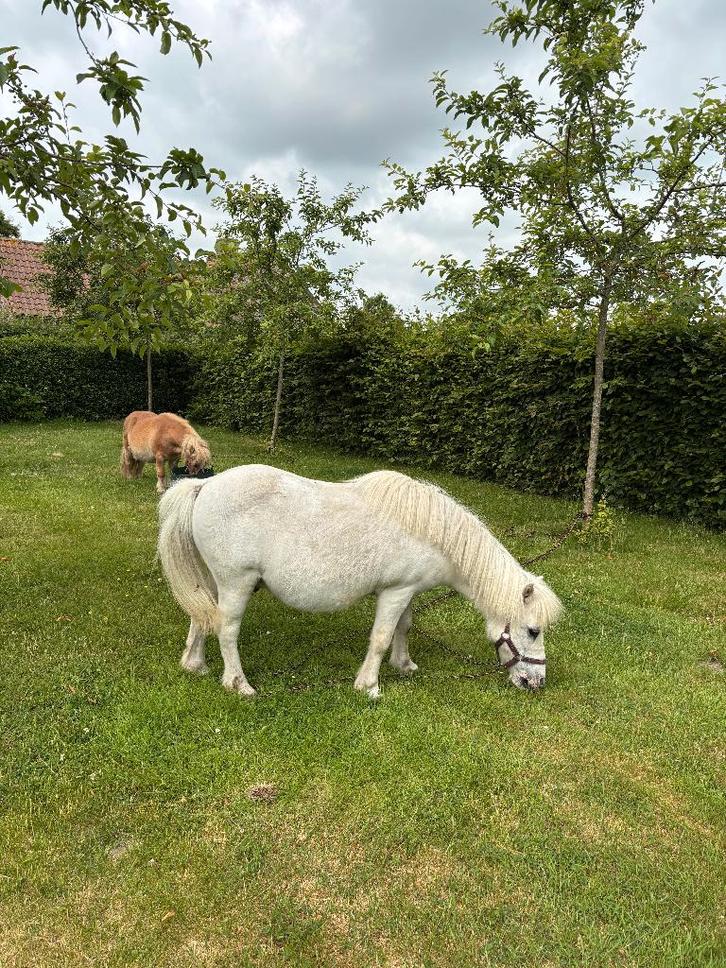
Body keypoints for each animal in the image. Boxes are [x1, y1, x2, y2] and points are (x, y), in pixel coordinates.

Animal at [157, 464, 562, 699]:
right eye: (533, 630)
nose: (536, 683)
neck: (431, 533)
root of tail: (205, 486)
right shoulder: (395, 592)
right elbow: (381, 637)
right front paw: (369, 686)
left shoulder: (406, 591)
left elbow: (404, 628)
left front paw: (404, 665)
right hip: (236, 583)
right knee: (226, 630)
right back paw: (239, 684)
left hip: (214, 582)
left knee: (202, 617)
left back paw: (195, 665)